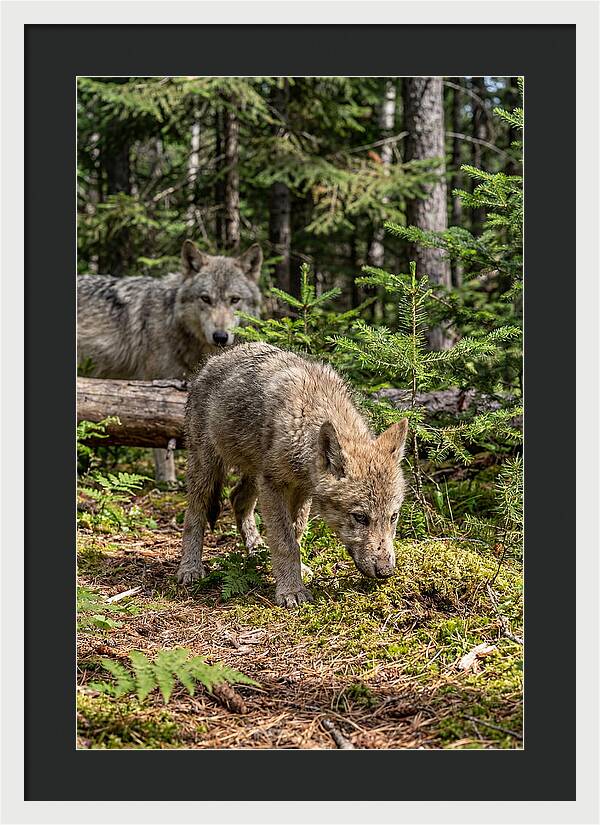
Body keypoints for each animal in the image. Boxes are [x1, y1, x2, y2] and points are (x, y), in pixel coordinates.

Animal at [77, 240, 263, 481]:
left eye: (235, 300)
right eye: (206, 298)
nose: (220, 337)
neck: (172, 321)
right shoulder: (156, 389)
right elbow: (161, 442)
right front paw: (167, 481)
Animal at [177, 342, 409, 607]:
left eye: (393, 517)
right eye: (360, 517)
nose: (385, 571)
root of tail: (213, 360)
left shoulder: (302, 490)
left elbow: (296, 534)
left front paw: (296, 572)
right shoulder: (274, 486)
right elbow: (285, 542)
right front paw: (291, 591)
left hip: (254, 475)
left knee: (237, 498)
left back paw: (256, 550)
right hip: (208, 469)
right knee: (194, 513)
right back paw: (190, 568)